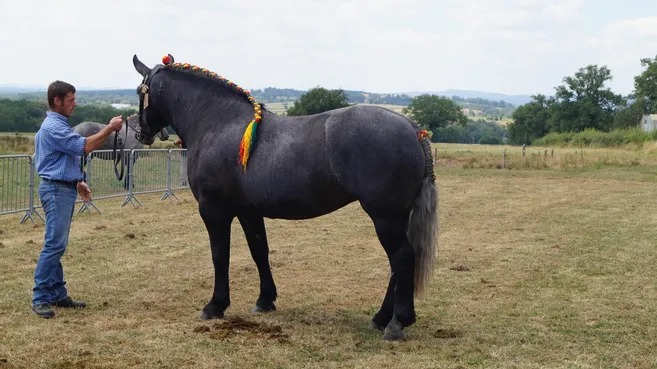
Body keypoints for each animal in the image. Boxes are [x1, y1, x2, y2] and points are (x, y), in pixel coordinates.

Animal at [131, 52, 438, 340]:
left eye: (138, 91)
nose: (141, 134)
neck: (217, 124)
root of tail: (412, 128)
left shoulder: (213, 210)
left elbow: (220, 255)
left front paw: (215, 306)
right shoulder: (248, 211)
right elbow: (259, 251)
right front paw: (265, 300)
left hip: (385, 216)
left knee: (402, 258)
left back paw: (396, 323)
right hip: (396, 216)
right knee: (397, 264)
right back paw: (381, 318)